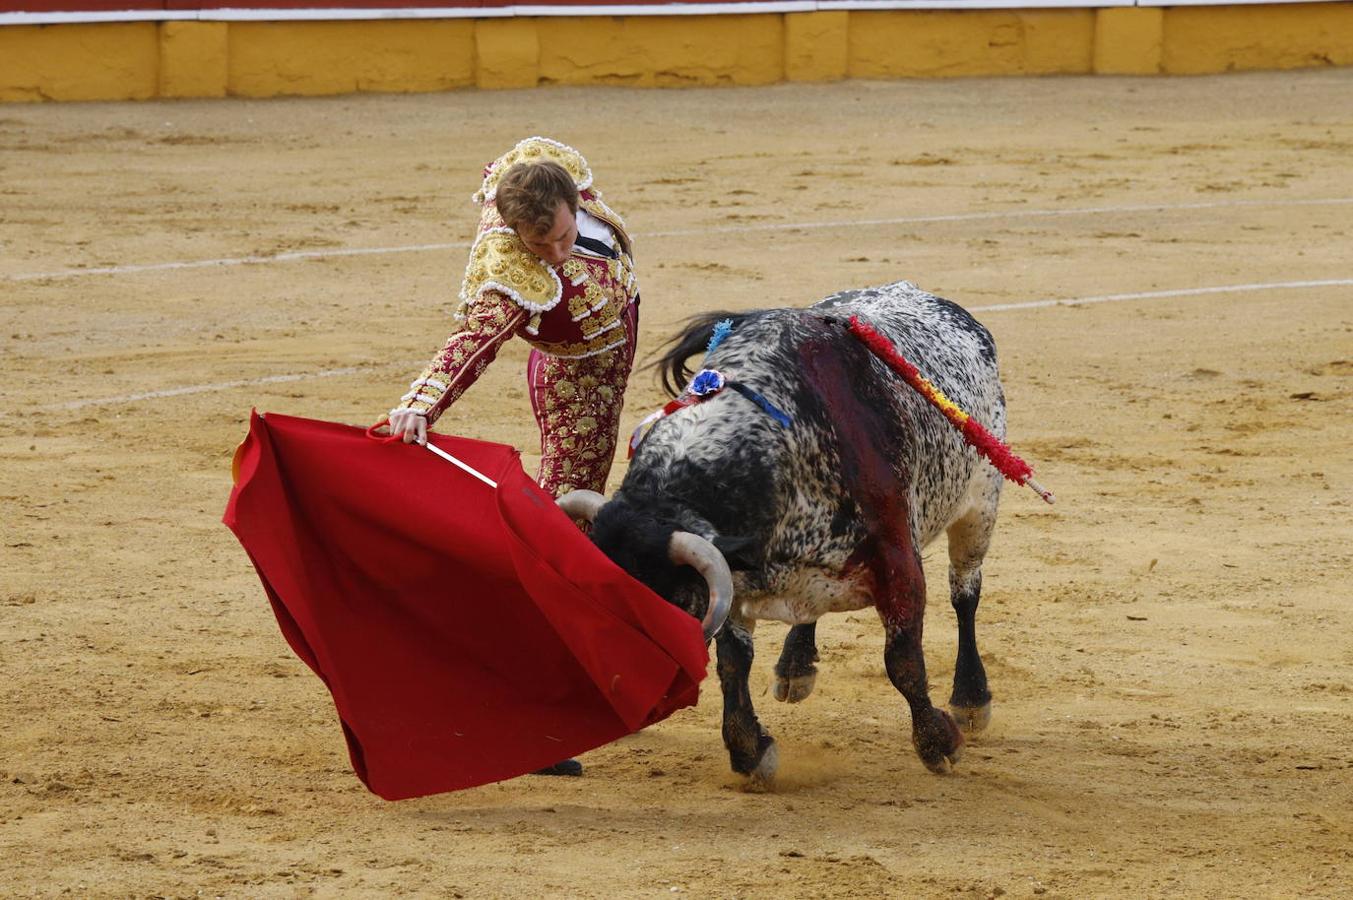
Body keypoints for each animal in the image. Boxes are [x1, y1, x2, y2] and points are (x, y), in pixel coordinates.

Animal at [554, 282, 1012, 784]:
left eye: (663, 604)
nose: (624, 695)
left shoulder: (898, 558)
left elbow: (903, 659)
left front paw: (938, 742)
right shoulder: (733, 577)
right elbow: (733, 663)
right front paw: (750, 750)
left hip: (980, 506)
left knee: (965, 594)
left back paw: (972, 698)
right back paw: (796, 665)